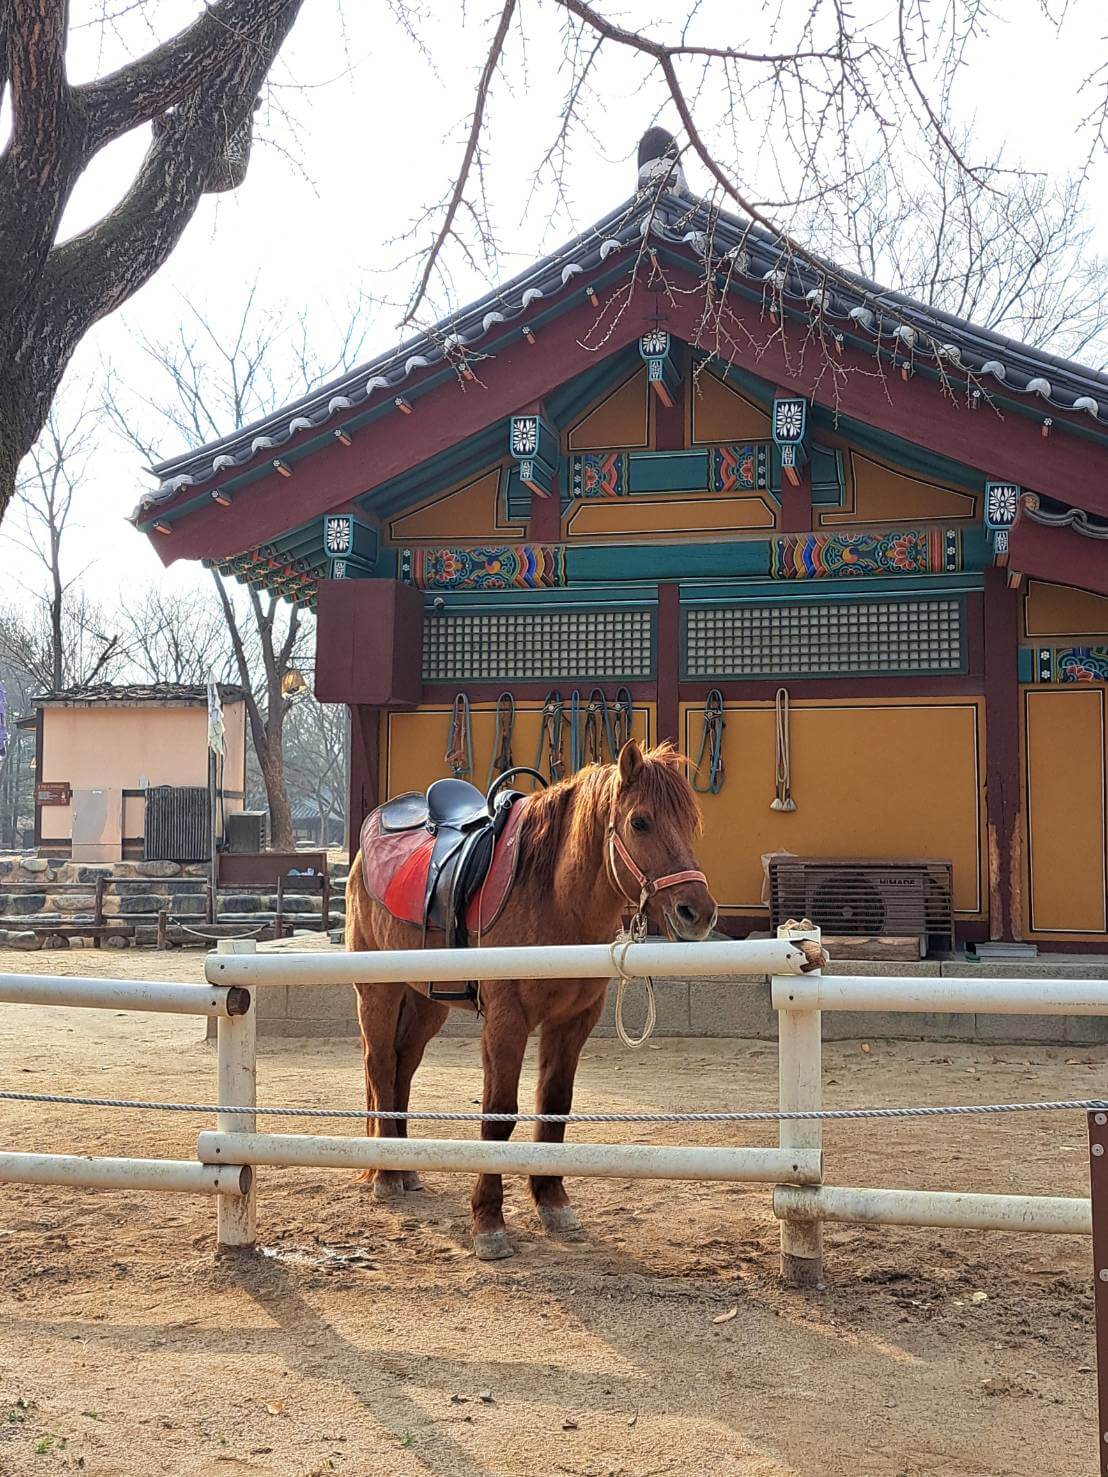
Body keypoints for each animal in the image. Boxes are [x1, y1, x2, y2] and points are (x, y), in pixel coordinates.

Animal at [342, 738, 720, 1258]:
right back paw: (386, 1174)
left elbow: (555, 1104)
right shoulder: (507, 1020)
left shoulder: (573, 1021)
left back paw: (405, 1165)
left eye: (690, 823)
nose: (696, 912)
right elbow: (499, 1114)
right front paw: (488, 1222)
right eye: (640, 821)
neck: (552, 897)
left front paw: (552, 1201)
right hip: (378, 992)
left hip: (426, 1004)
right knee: (380, 1066)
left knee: (401, 1066)